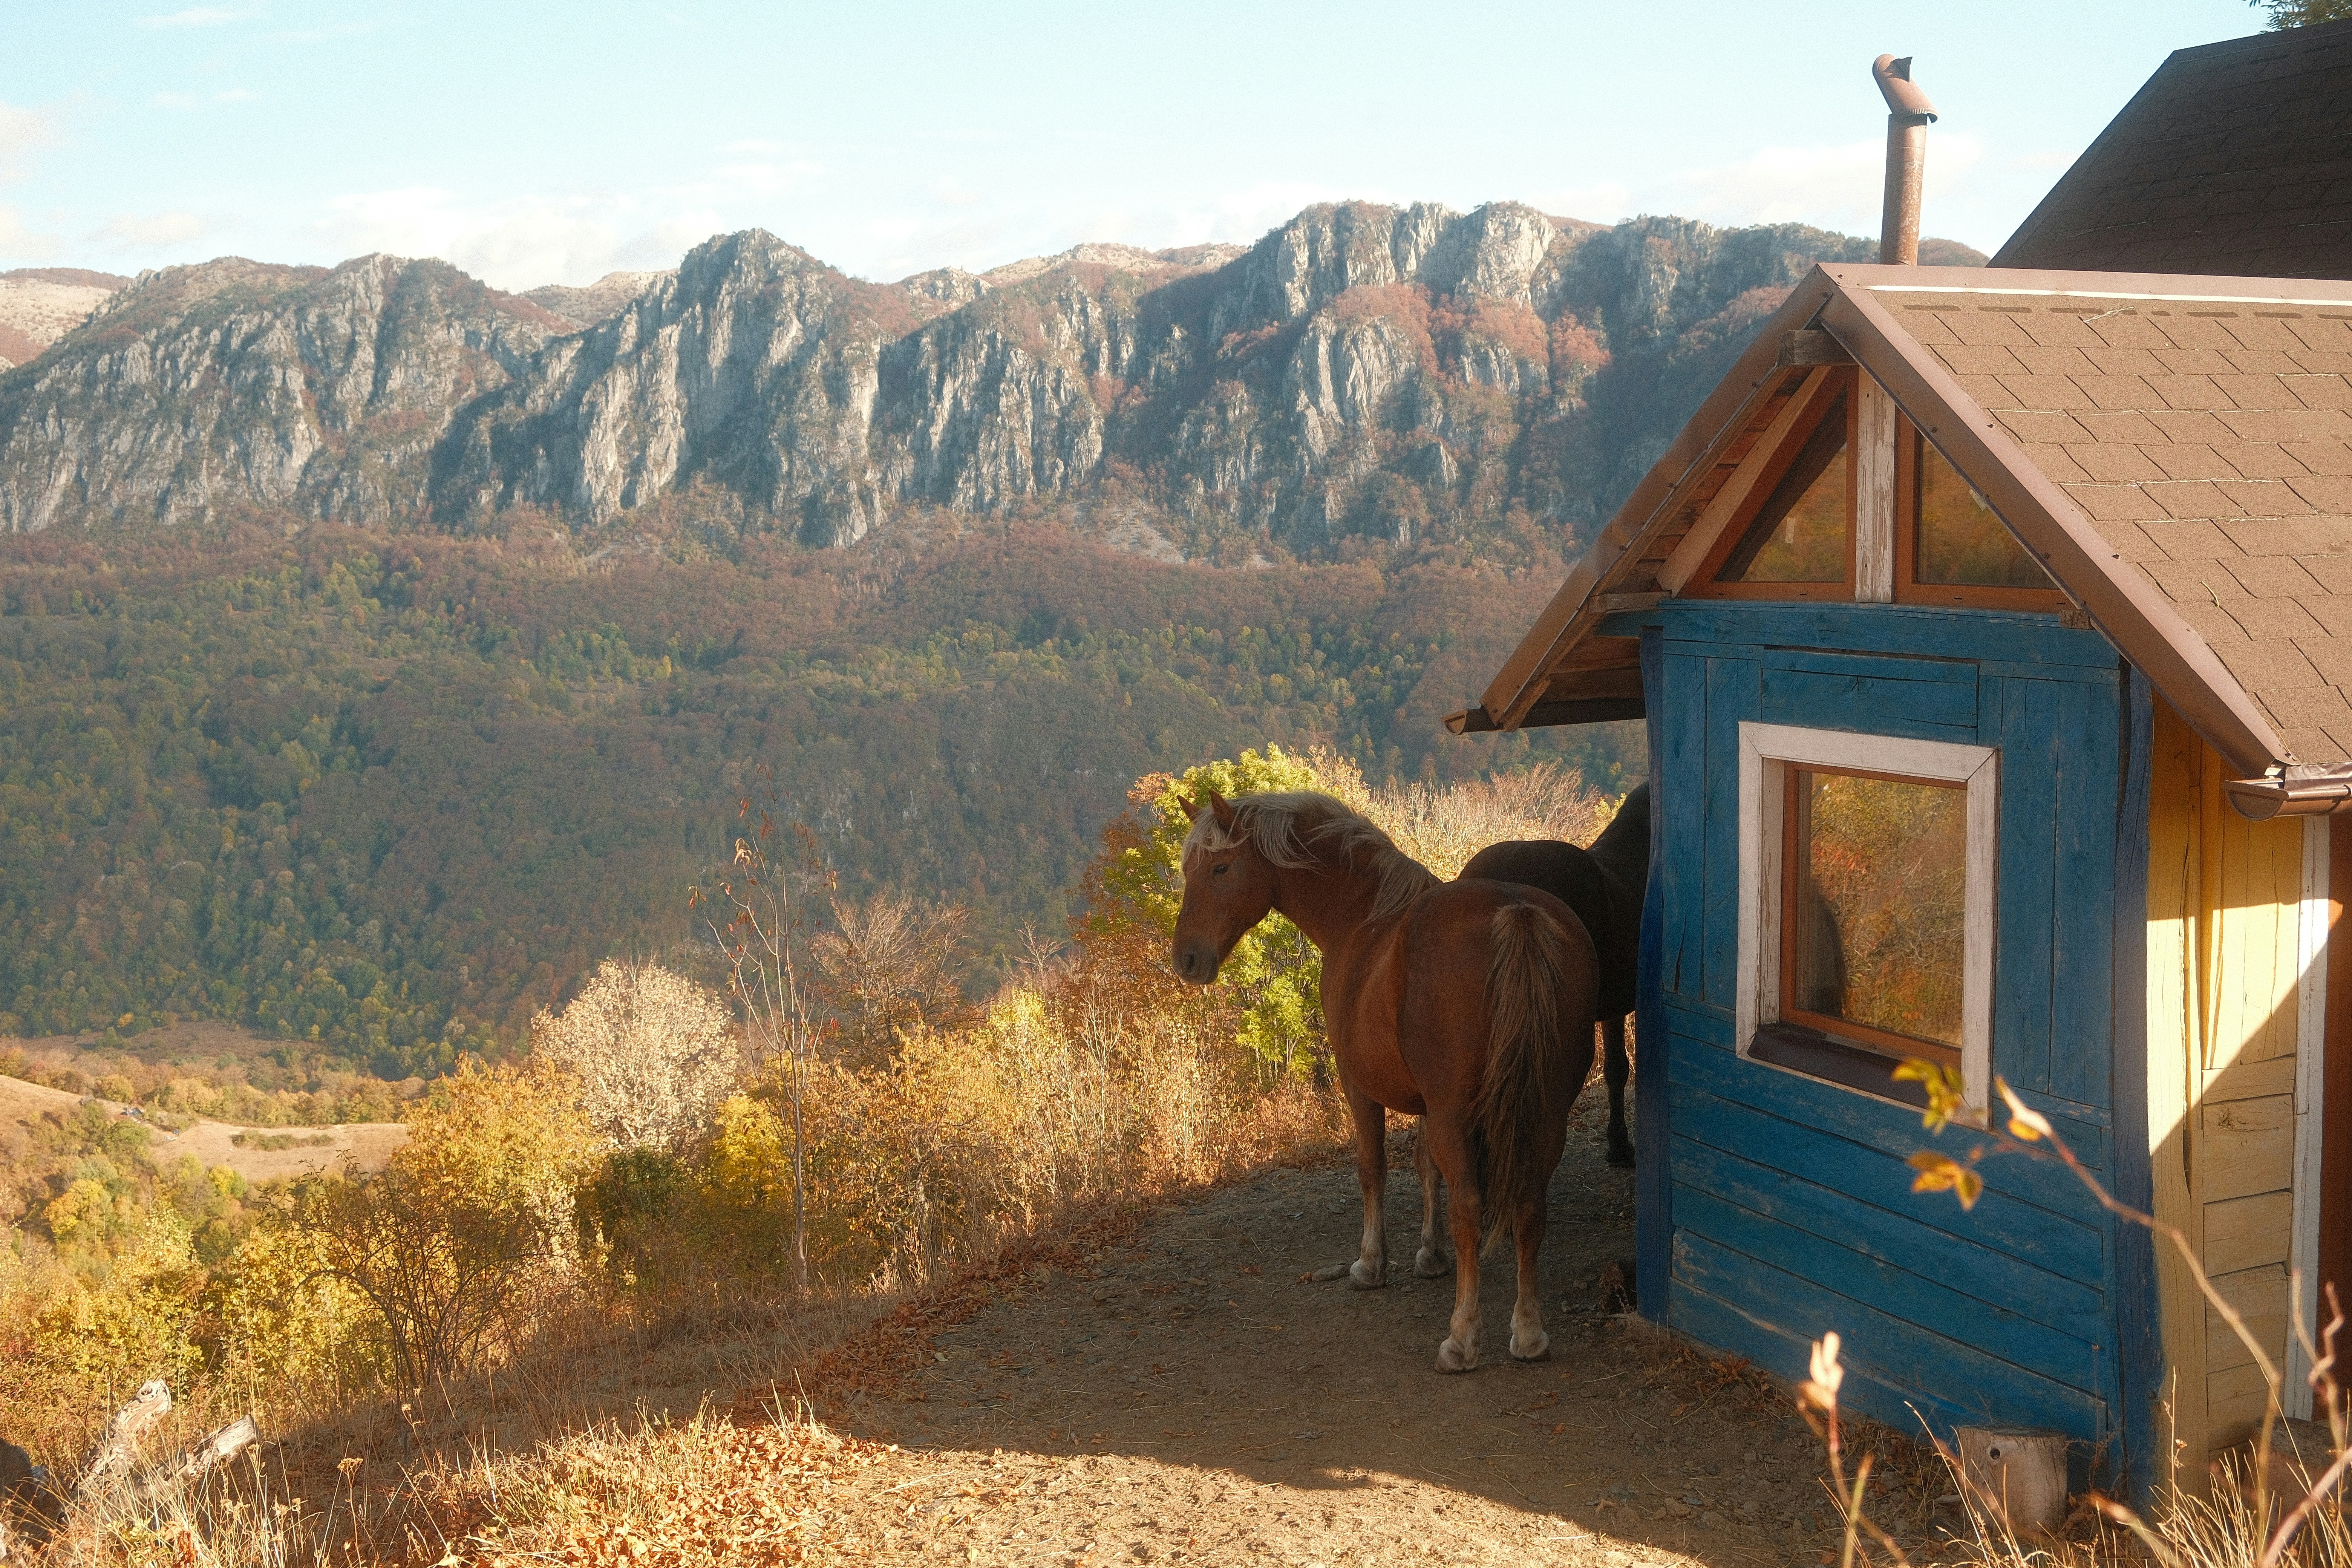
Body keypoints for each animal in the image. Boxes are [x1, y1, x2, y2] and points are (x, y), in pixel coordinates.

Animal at [1171, 789, 1599, 1372]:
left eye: (1220, 867)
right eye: (1188, 870)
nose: (1186, 959)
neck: (1363, 916)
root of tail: (1517, 911)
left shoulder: (1362, 1086)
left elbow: (1372, 1169)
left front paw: (1372, 1264)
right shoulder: (1428, 1105)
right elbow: (1425, 1167)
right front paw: (1430, 1254)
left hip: (1463, 1112)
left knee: (1471, 1209)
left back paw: (1462, 1338)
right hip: (1548, 1111)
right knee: (1530, 1206)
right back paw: (1529, 1332)